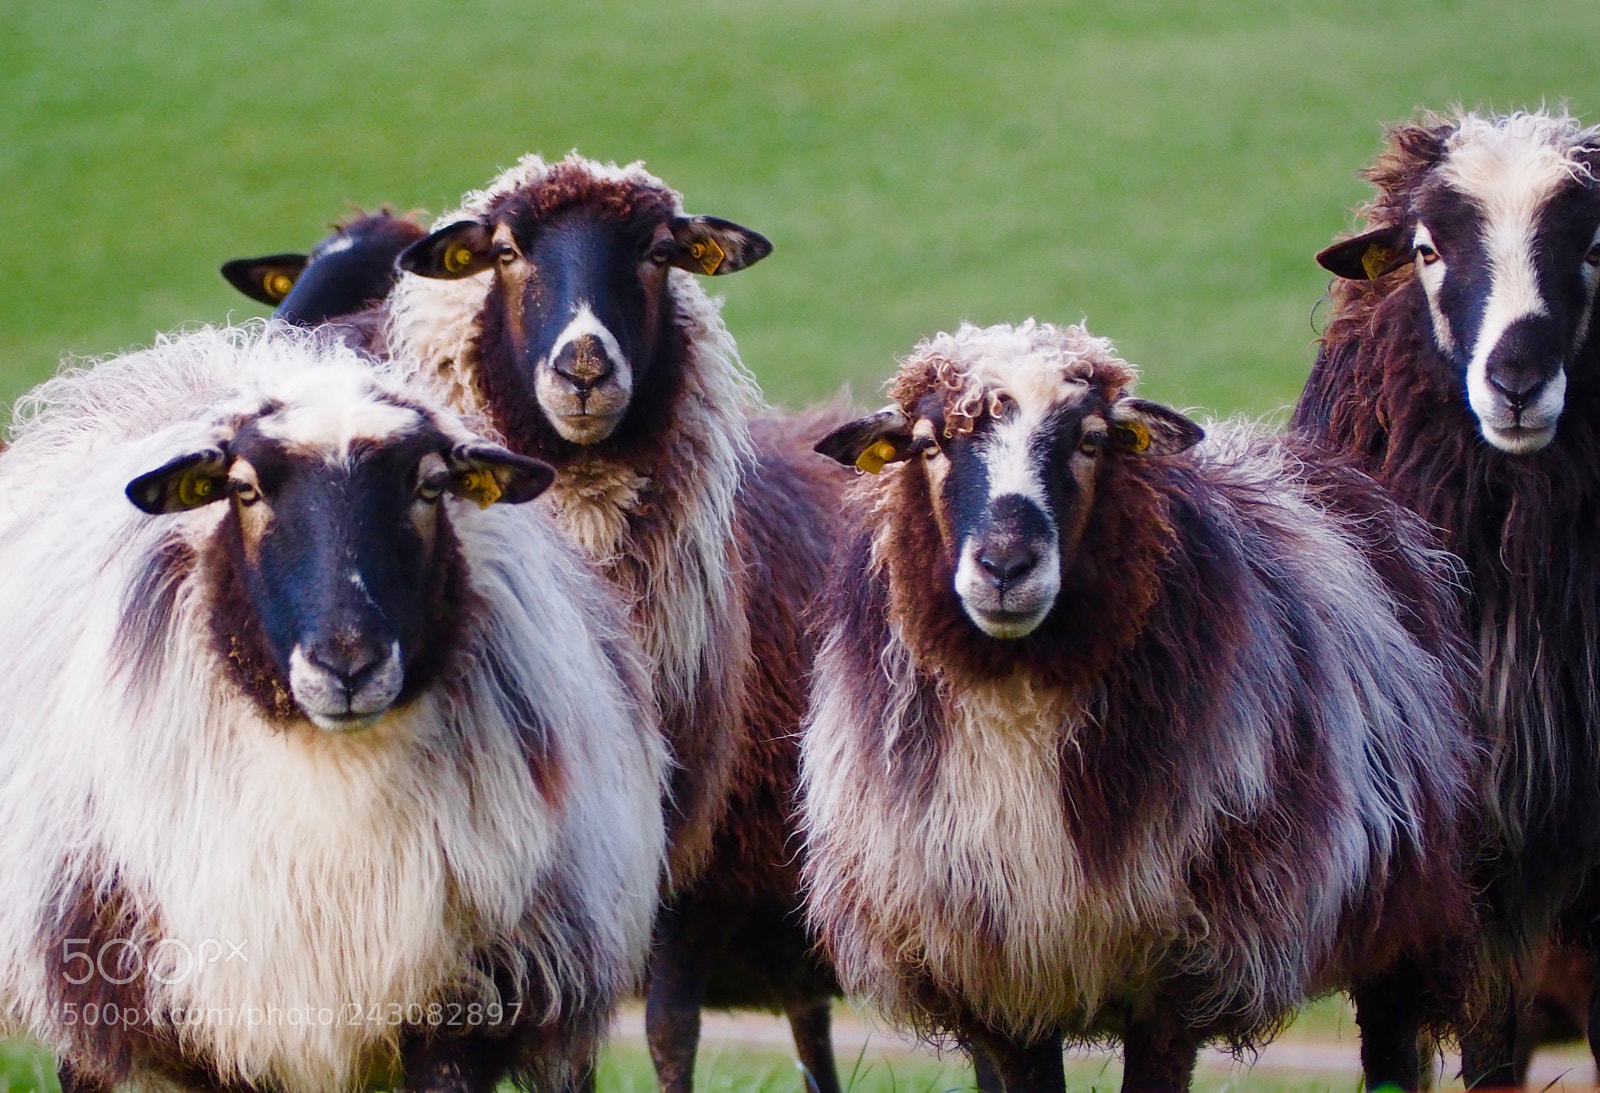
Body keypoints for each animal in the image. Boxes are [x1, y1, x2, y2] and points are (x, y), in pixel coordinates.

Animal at [0, 323, 668, 1093]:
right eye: (244, 489)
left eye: (431, 486)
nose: (348, 664)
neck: (335, 789)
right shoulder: (193, 1016)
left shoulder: (470, 1008)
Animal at [804, 320, 1482, 1093]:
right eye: (928, 443)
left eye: (1092, 441)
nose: (1006, 565)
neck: (1019, 696)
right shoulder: (999, 975)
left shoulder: (1179, 975)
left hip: (1409, 913)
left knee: (1396, 1050)